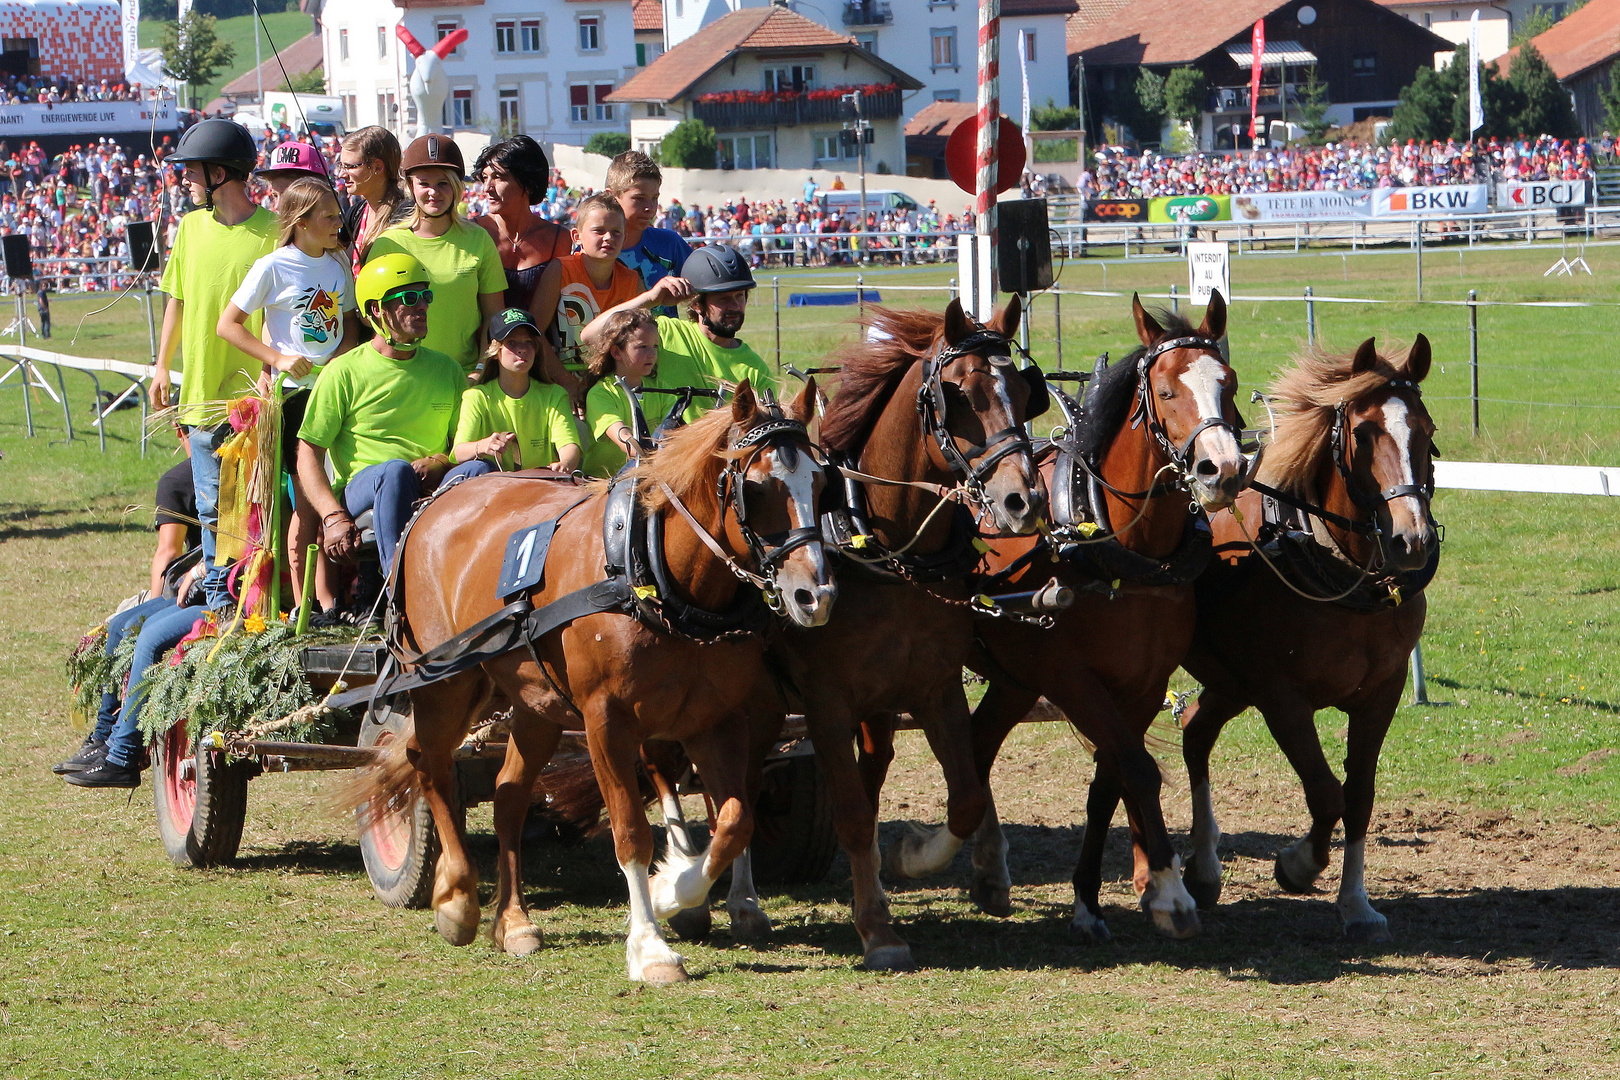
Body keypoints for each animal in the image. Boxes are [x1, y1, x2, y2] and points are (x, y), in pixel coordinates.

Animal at [374, 383, 842, 984]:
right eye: (757, 485)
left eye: (823, 485)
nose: (816, 595)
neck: (656, 574)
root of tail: (436, 502)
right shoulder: (607, 723)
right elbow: (631, 832)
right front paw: (651, 944)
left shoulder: (715, 721)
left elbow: (734, 819)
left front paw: (676, 891)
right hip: (446, 682)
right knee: (427, 765)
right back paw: (456, 900)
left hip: (536, 702)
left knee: (508, 792)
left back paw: (514, 921)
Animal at [771, 297, 1049, 971]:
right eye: (960, 394)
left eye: (1026, 391)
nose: (1024, 500)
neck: (888, 549)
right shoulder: (826, 702)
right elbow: (849, 811)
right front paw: (877, 928)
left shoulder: (934, 685)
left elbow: (965, 792)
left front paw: (914, 857)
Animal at [920, 291, 1244, 939]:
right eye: (1166, 390)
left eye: (1231, 383)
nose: (1222, 470)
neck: (1123, 546)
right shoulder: (1070, 677)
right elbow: (1137, 769)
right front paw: (1171, 893)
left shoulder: (1143, 682)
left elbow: (1112, 777)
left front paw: (1093, 898)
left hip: (1016, 675)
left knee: (978, 746)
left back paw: (989, 869)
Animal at [1179, 338, 1445, 945]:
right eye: (1363, 433)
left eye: (1426, 429)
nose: (1412, 540)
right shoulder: (1280, 697)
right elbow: (1325, 793)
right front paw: (1298, 865)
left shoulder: (1381, 693)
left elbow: (1358, 796)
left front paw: (1357, 905)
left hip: (1229, 682)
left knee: (1194, 732)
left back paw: (1202, 870)